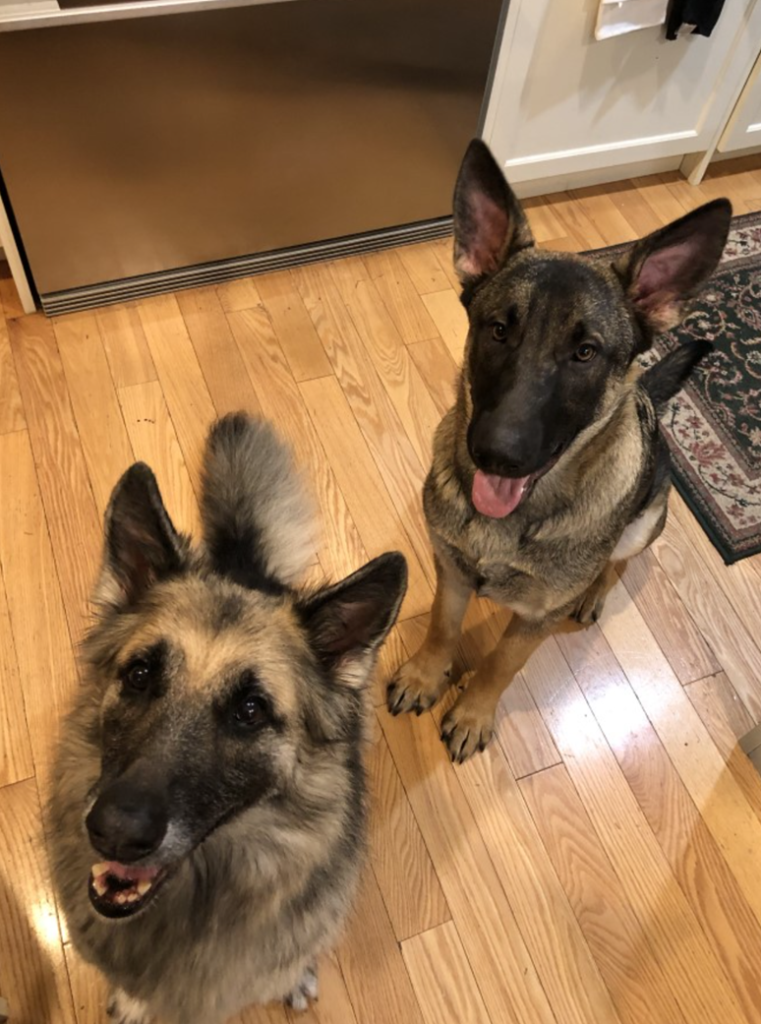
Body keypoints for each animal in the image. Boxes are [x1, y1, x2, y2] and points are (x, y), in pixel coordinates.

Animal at [387, 139, 731, 763]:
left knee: (618, 562)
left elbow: (501, 663)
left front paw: (473, 711)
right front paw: (428, 675)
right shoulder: (450, 569)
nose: (497, 454)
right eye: (498, 330)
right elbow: (443, 627)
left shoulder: (536, 617)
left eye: (585, 353)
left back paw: (593, 592)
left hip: (644, 522)